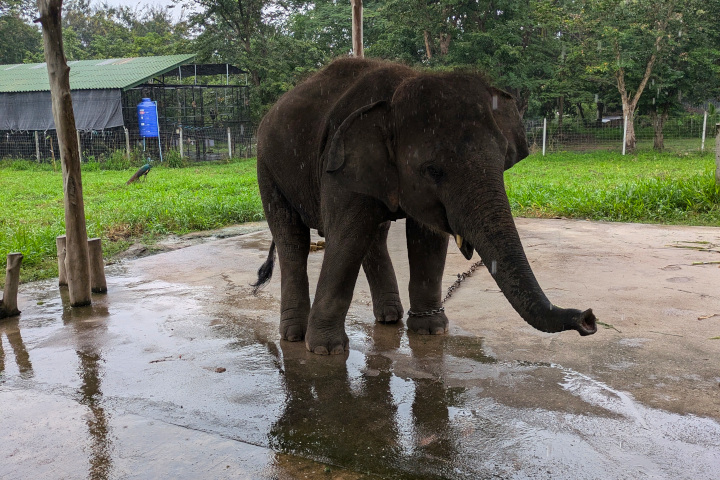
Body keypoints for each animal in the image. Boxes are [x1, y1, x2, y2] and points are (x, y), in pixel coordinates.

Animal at [253, 57, 596, 355]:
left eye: (502, 162)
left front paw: (431, 330)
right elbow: (346, 239)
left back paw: (389, 318)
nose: (588, 319)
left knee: (373, 236)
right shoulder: (337, 169)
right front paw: (326, 350)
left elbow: (427, 239)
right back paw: (293, 336)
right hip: (266, 168)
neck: (398, 91)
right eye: (433, 170)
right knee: (293, 241)